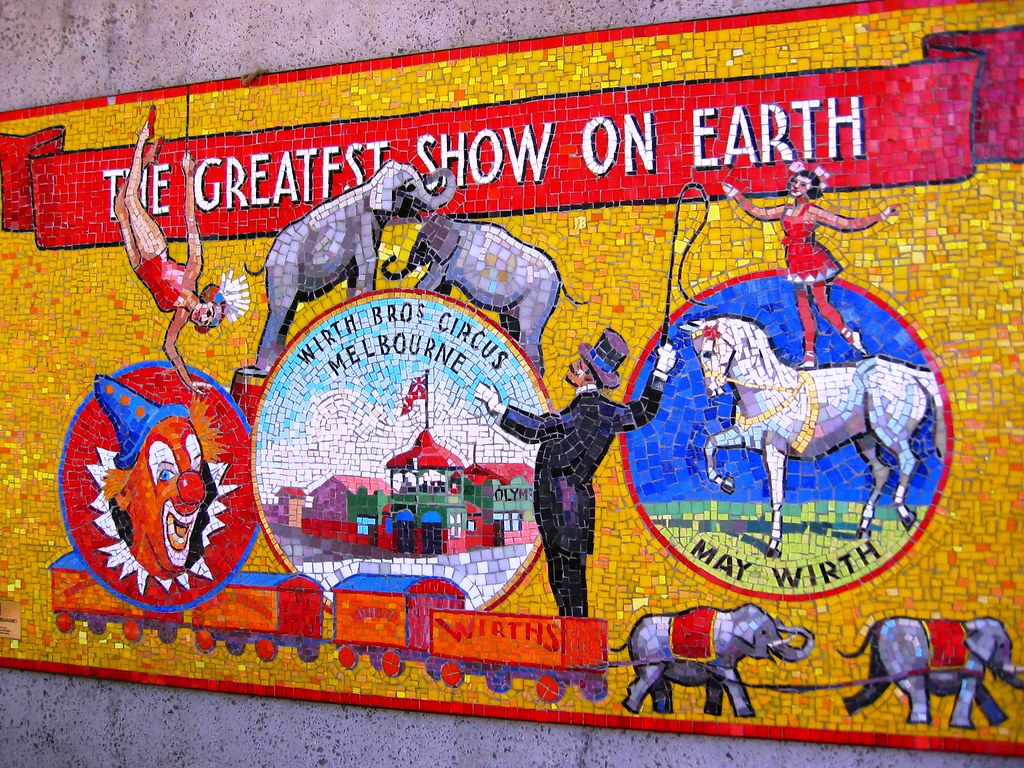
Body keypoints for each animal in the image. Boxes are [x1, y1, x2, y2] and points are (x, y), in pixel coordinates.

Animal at [244, 160, 456, 374]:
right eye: (410, 187)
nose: (433, 173)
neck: (371, 187)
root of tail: (270, 255)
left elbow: (355, 275)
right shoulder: (362, 223)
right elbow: (368, 261)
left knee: (288, 312)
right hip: (284, 269)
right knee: (281, 309)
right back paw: (263, 369)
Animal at [379, 215, 582, 376]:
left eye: (423, 244)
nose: (392, 257)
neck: (454, 225)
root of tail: (560, 281)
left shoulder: (451, 260)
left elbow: (431, 281)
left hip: (538, 298)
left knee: (528, 335)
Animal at [615, 603, 814, 717]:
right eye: (764, 633)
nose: (797, 630)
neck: (735, 618)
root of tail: (631, 636)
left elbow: (716, 683)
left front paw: (713, 714)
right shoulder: (722, 651)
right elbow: (731, 679)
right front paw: (746, 715)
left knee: (654, 682)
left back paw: (659, 711)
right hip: (650, 653)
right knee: (649, 679)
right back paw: (632, 709)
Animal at [680, 316, 945, 559]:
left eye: (707, 353)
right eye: (697, 354)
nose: (713, 391)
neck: (767, 388)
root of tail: (912, 374)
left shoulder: (774, 450)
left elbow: (777, 497)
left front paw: (774, 545)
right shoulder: (745, 437)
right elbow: (709, 444)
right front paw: (725, 482)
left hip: (890, 433)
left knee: (908, 462)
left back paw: (905, 513)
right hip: (865, 439)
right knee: (882, 471)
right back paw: (863, 527)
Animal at [841, 616, 1024, 728]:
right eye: (1002, 646)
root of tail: (879, 625)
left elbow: (980, 690)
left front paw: (1000, 721)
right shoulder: (972, 659)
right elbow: (971, 687)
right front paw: (962, 726)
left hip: (882, 658)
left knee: (876, 686)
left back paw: (848, 708)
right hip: (904, 656)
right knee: (915, 688)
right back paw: (920, 723)